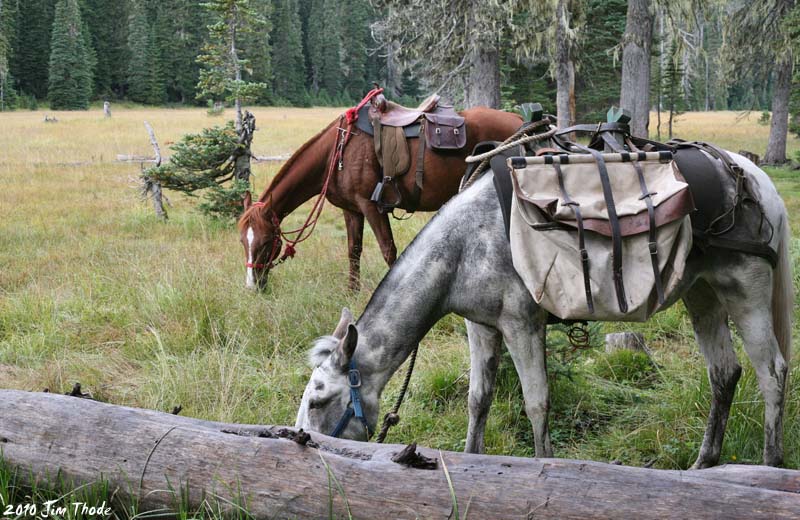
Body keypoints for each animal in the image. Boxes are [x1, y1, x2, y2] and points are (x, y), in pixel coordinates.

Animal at [238, 105, 524, 292]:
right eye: (243, 241)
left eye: (267, 241)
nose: (252, 286)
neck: (338, 151)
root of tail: (520, 119)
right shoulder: (352, 210)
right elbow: (353, 250)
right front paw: (352, 292)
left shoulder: (371, 206)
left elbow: (388, 250)